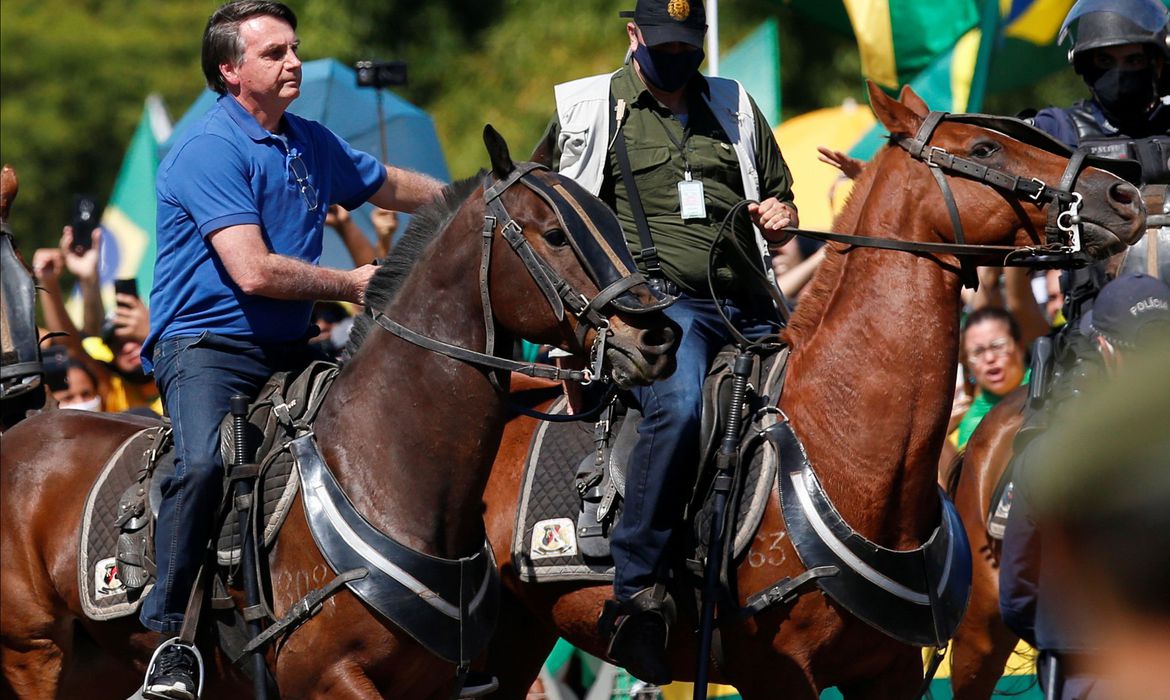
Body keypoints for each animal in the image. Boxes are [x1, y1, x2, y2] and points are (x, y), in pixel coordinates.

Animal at [0, 128, 678, 697]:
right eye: (556, 235)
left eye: (613, 221)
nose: (656, 338)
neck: (388, 473)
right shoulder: (328, 678)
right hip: (35, 655)